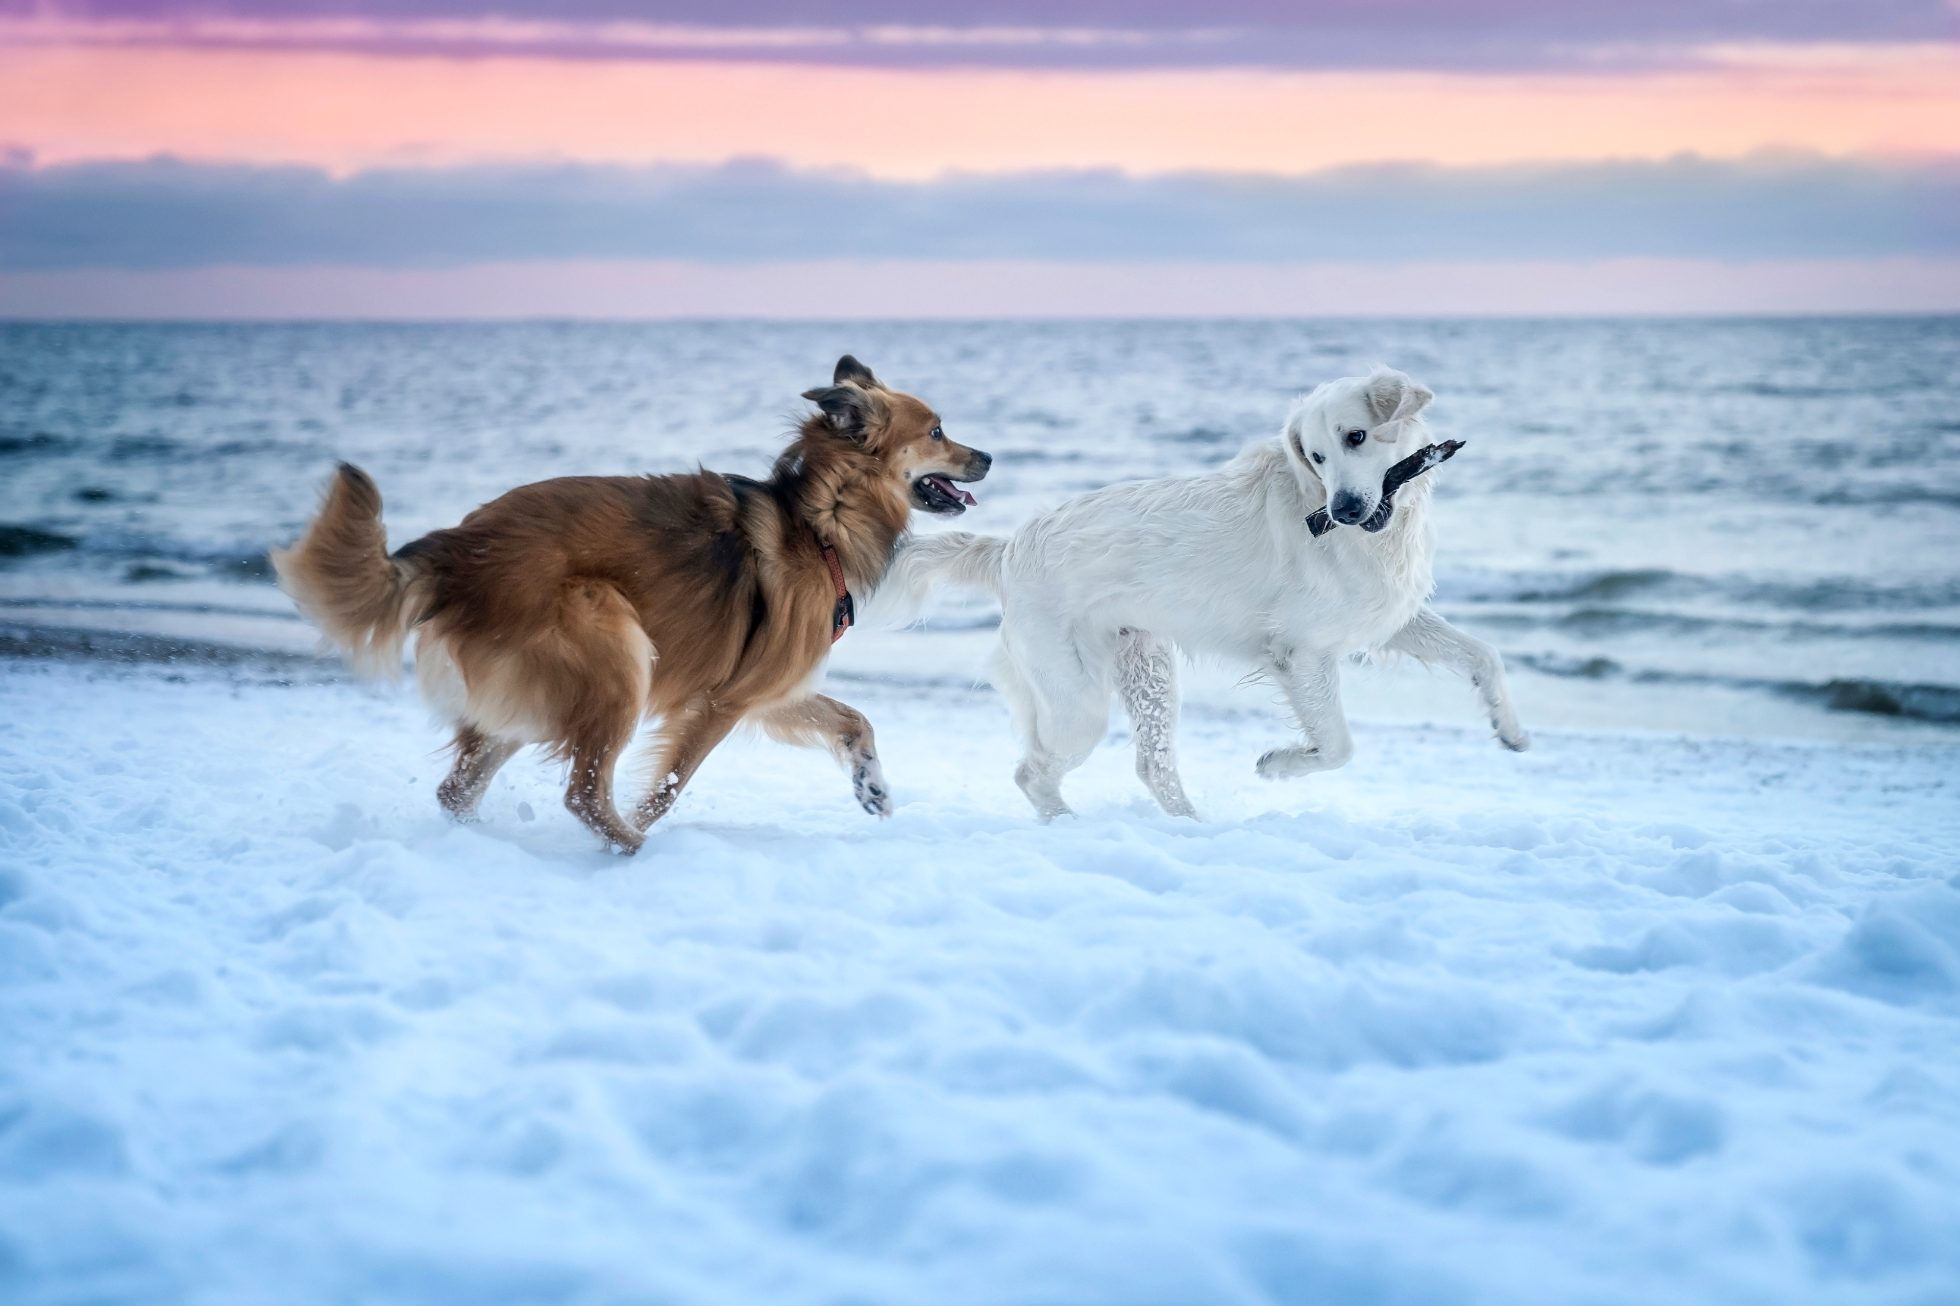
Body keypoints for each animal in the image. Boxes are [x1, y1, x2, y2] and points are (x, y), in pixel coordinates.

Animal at [268, 351, 987, 851]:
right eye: (938, 431)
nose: (987, 456)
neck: (820, 520)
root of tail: (455, 547)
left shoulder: (766, 687)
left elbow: (853, 719)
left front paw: (872, 785)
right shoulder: (722, 701)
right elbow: (669, 786)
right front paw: (648, 820)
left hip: (525, 695)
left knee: (458, 790)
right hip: (614, 644)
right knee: (584, 791)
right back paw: (630, 847)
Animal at [885, 366, 1528, 815]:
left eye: (1358, 437)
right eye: (1317, 456)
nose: (1342, 510)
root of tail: (1010, 548)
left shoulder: (1389, 618)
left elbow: (1485, 654)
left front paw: (1510, 727)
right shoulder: (1303, 654)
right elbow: (1339, 747)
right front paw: (1279, 765)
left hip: (1147, 671)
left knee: (1151, 766)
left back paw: (1190, 828)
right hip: (1077, 701)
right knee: (1033, 773)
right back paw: (1070, 827)